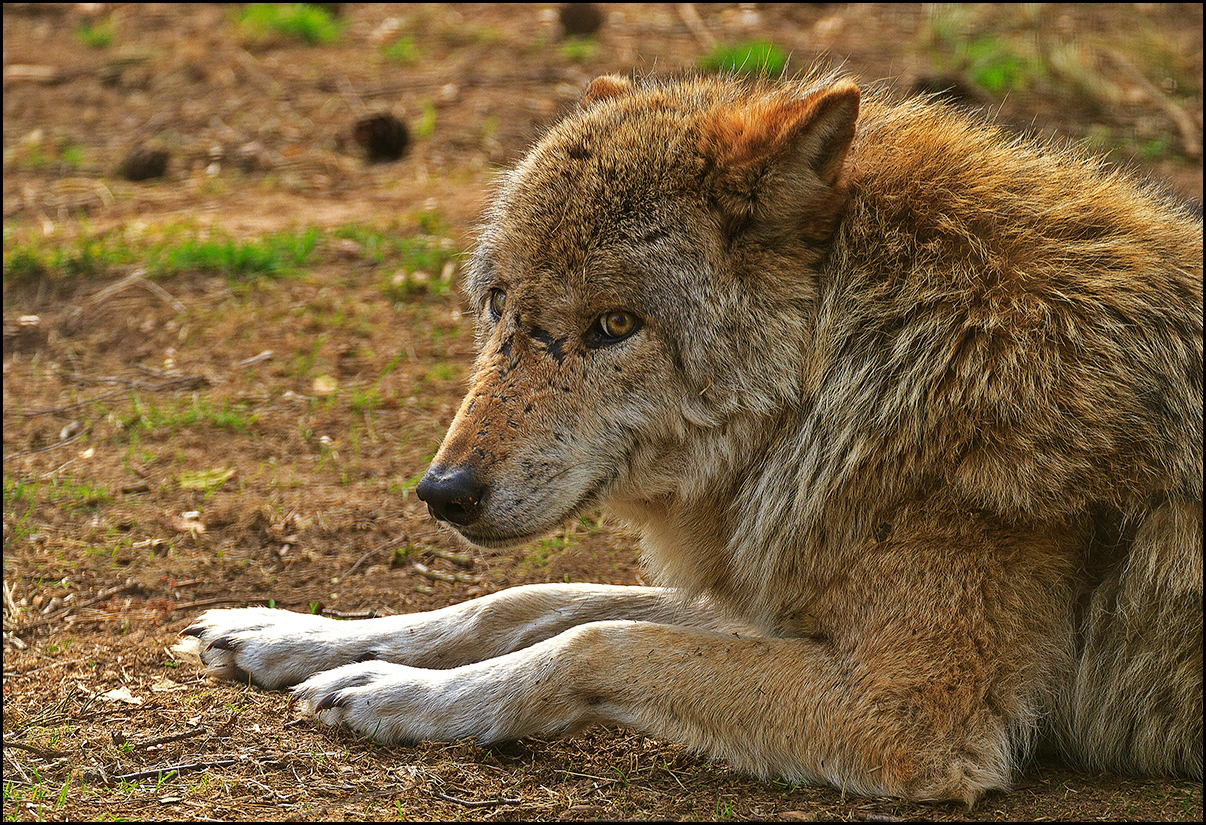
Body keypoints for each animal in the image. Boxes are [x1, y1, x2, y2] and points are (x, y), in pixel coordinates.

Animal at [183, 72, 1201, 805]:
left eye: (614, 325)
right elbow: (528, 600)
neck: (868, 364)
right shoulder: (774, 596)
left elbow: (597, 638)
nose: (444, 493)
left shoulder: (912, 720)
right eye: (499, 305)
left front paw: (397, 694)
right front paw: (298, 634)